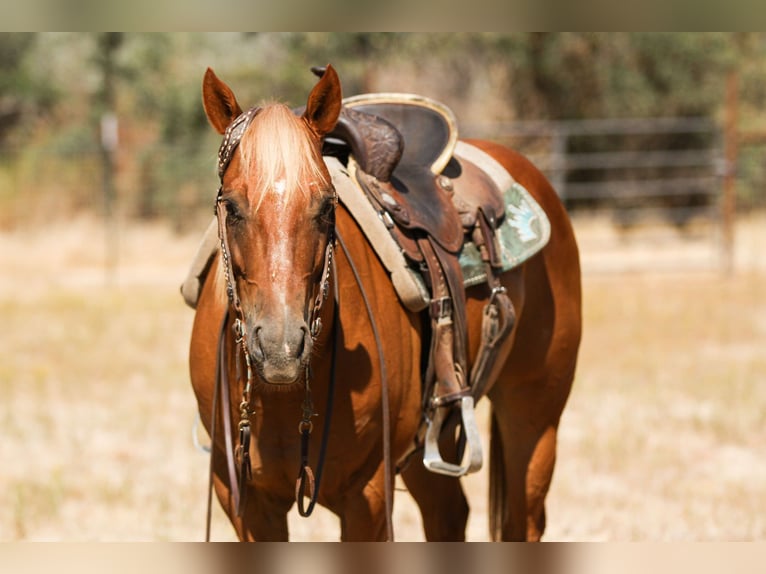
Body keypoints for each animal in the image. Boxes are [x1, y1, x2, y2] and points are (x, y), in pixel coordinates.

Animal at [188, 64, 582, 541]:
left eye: (326, 207)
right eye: (231, 207)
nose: (281, 349)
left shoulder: (369, 497)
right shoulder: (244, 504)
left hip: (534, 413)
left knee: (521, 520)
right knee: (449, 513)